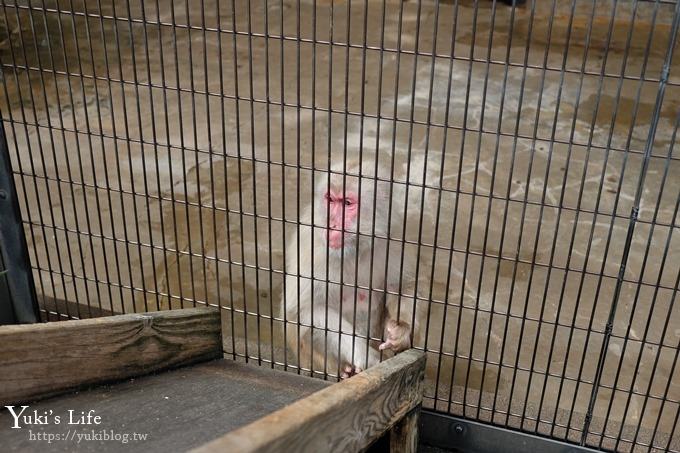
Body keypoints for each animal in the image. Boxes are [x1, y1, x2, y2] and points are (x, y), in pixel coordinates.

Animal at [282, 157, 414, 376]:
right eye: (330, 199)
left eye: (347, 203)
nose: (332, 224)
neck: (356, 248)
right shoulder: (314, 247)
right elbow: (305, 310)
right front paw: (367, 358)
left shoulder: (394, 238)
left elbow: (403, 285)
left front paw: (401, 331)